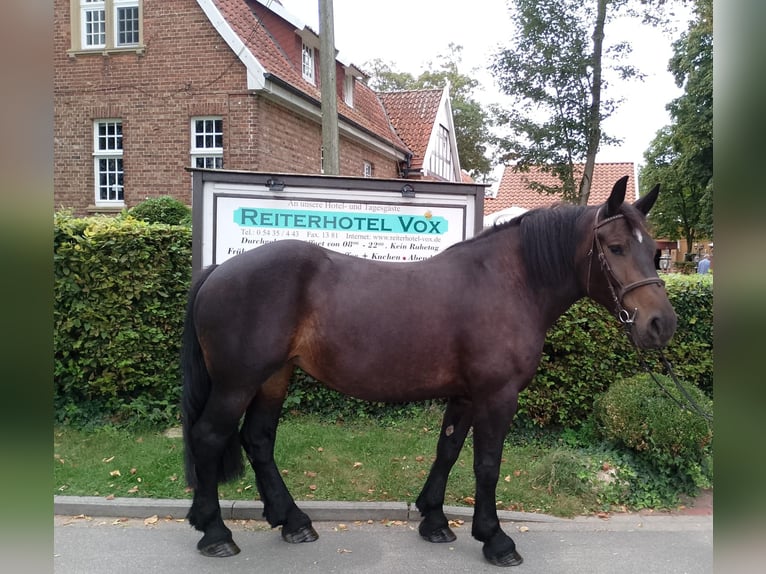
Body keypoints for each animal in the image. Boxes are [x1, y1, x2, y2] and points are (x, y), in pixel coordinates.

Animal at [182, 177, 680, 568]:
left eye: (654, 252)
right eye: (615, 247)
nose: (662, 324)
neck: (509, 283)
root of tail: (219, 269)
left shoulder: (465, 395)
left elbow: (448, 450)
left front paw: (435, 520)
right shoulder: (498, 396)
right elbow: (486, 465)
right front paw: (495, 539)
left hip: (273, 377)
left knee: (258, 439)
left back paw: (293, 521)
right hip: (237, 382)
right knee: (209, 437)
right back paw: (216, 533)